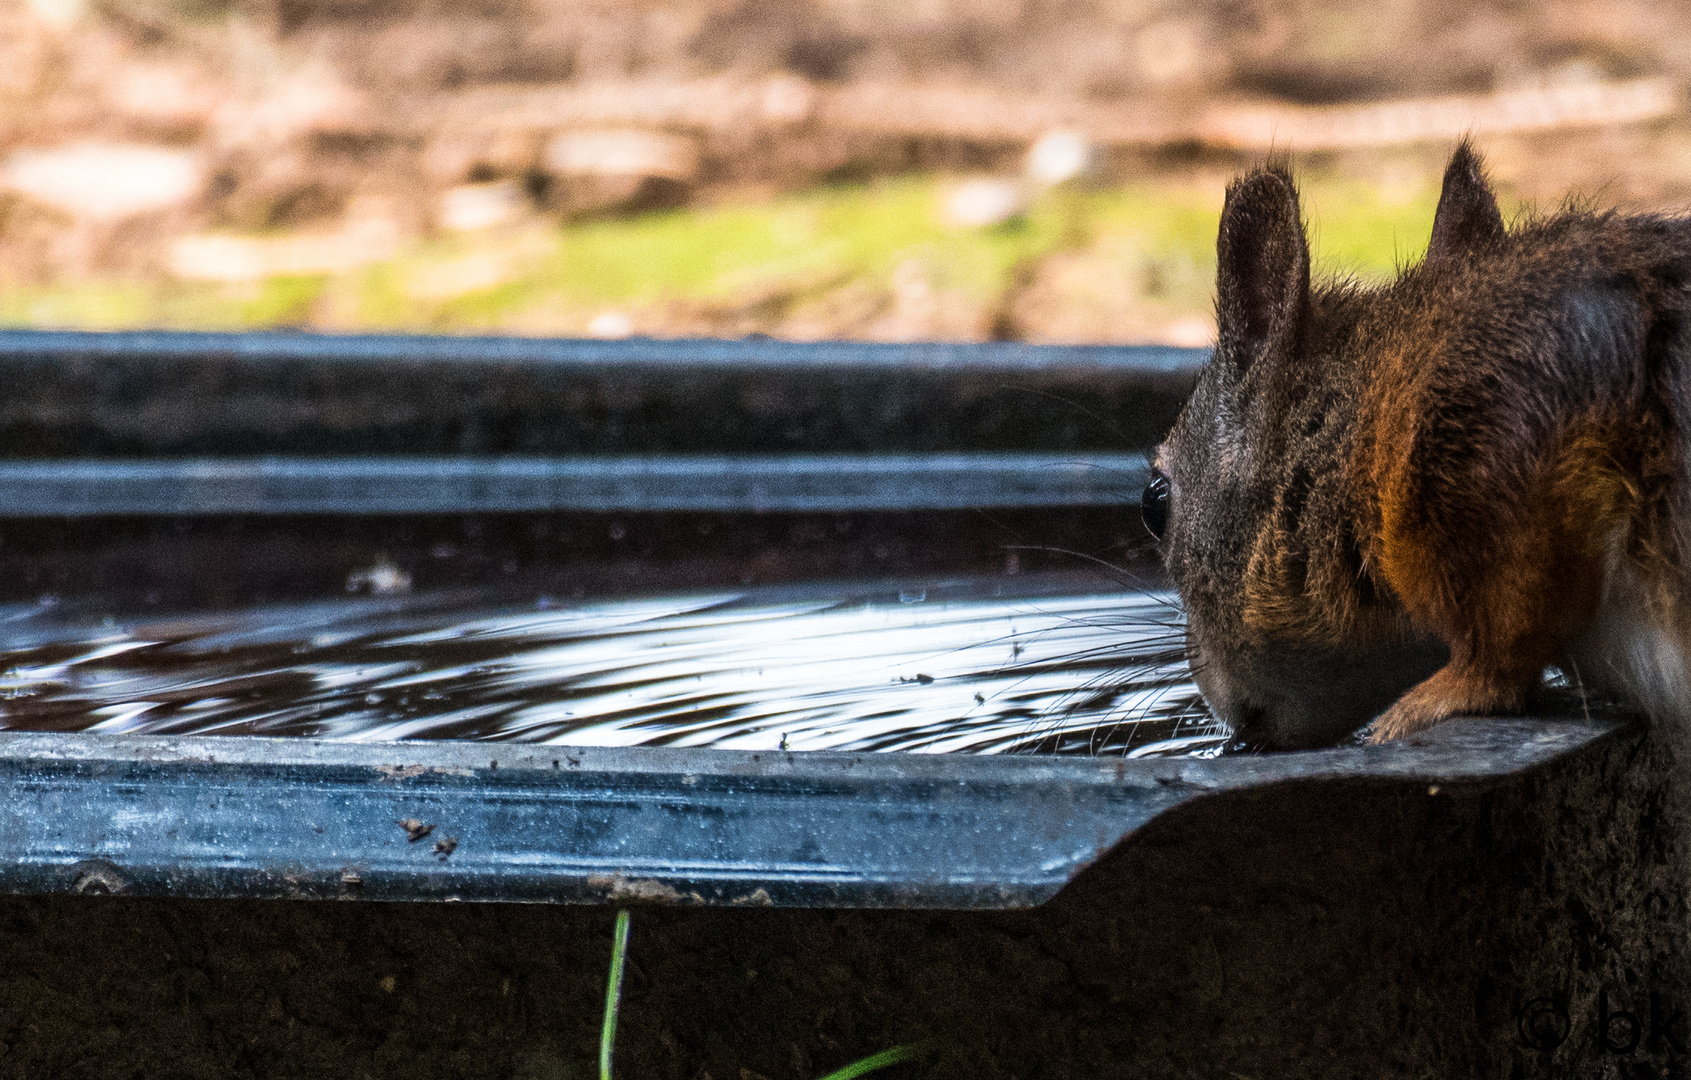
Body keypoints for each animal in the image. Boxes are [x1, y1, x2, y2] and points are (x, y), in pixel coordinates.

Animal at [1143, 139, 1684, 750]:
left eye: (1153, 503)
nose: (1219, 713)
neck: (1362, 442)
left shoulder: (1502, 417)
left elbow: (1506, 638)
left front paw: (1437, 699)